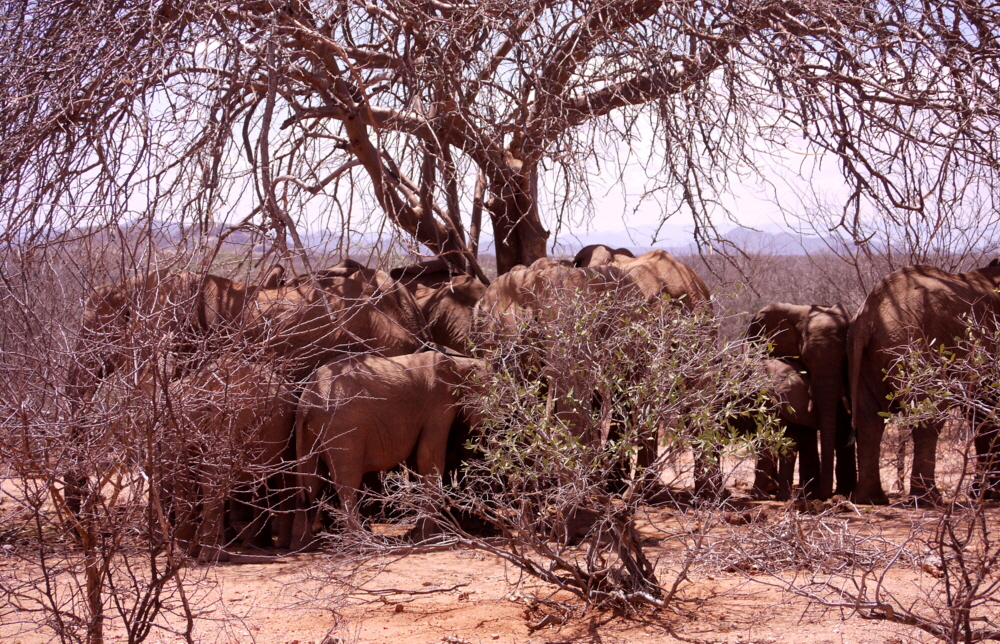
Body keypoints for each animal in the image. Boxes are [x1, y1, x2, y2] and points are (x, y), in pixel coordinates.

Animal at [290, 350, 484, 544]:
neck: (460, 361)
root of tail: (305, 403)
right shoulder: (439, 403)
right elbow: (429, 457)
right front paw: (427, 538)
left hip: (312, 431)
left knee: (310, 480)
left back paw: (303, 545)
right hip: (342, 427)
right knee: (347, 480)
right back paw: (363, 541)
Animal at [848, 260, 1000, 504]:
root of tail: (868, 316)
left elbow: (981, 414)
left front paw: (984, 494)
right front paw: (989, 494)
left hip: (865, 356)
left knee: (868, 420)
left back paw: (869, 499)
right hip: (916, 349)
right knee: (929, 419)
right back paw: (928, 499)